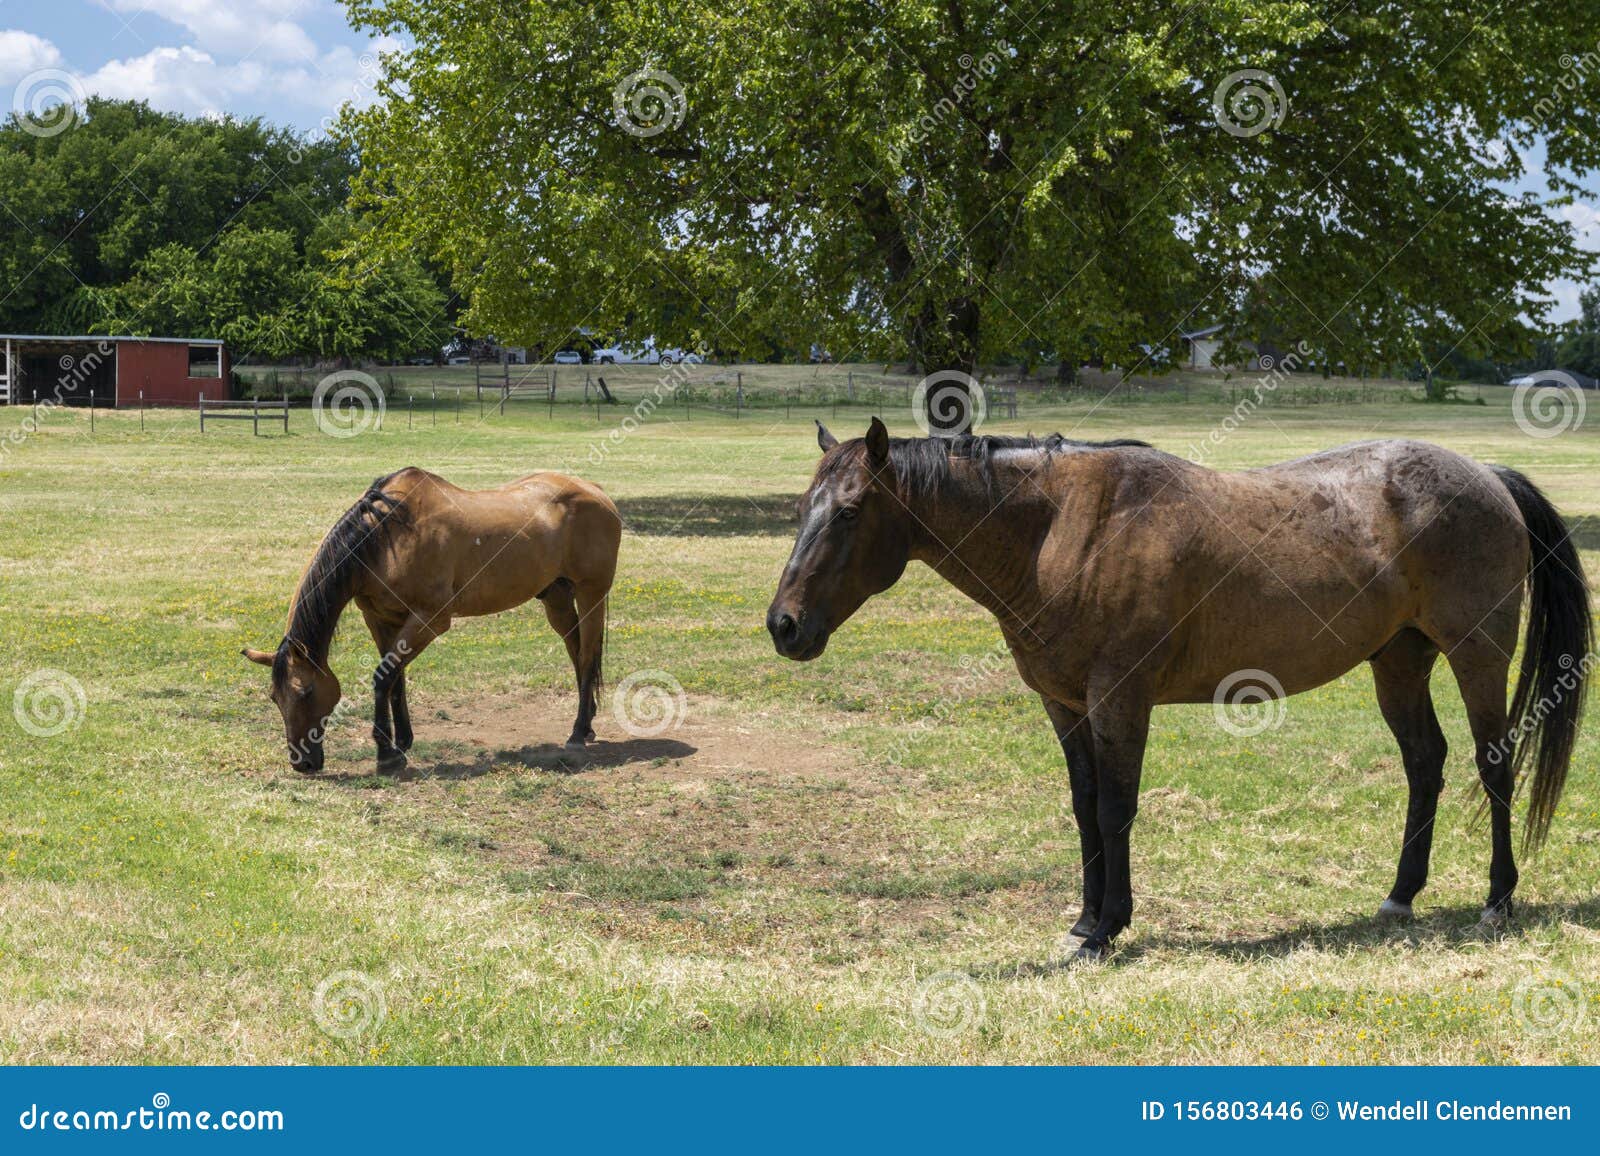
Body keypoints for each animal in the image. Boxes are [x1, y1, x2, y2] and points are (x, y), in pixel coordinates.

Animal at [243, 467, 617, 774]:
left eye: (304, 692)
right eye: (274, 698)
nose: (301, 763)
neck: (386, 539)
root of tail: (597, 491)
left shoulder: (429, 620)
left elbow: (383, 677)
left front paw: (386, 755)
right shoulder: (380, 619)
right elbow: (395, 678)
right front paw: (402, 742)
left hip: (591, 594)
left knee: (586, 656)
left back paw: (577, 732)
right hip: (557, 598)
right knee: (575, 651)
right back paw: (588, 723)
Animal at [768, 419, 1593, 960]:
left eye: (849, 513)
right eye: (801, 510)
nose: (784, 625)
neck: (1063, 529)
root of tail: (1487, 474)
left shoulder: (1119, 699)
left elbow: (1115, 808)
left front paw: (1107, 929)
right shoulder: (1065, 706)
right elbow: (1084, 809)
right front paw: (1084, 919)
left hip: (1476, 652)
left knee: (1492, 762)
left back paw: (1497, 900)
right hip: (1398, 661)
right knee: (1425, 763)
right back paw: (1400, 897)